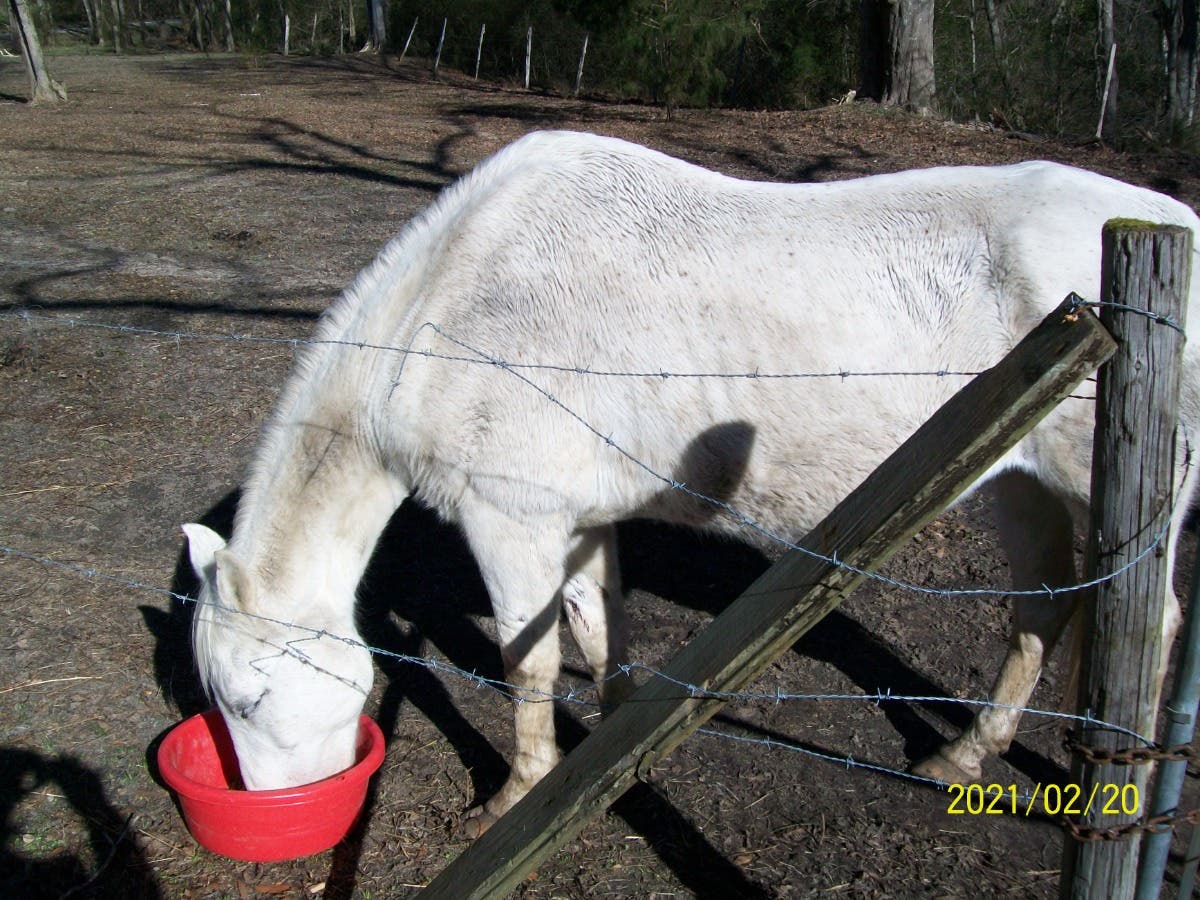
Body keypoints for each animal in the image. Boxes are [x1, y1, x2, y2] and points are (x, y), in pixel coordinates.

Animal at [184, 130, 1200, 837]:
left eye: (246, 700)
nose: (276, 809)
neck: (449, 313)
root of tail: (1173, 234)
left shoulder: (510, 520)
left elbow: (527, 666)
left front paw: (513, 800)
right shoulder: (577, 523)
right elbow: (601, 633)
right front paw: (600, 769)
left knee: (1150, 624)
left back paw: (1115, 794)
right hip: (1022, 483)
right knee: (1043, 605)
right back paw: (966, 755)